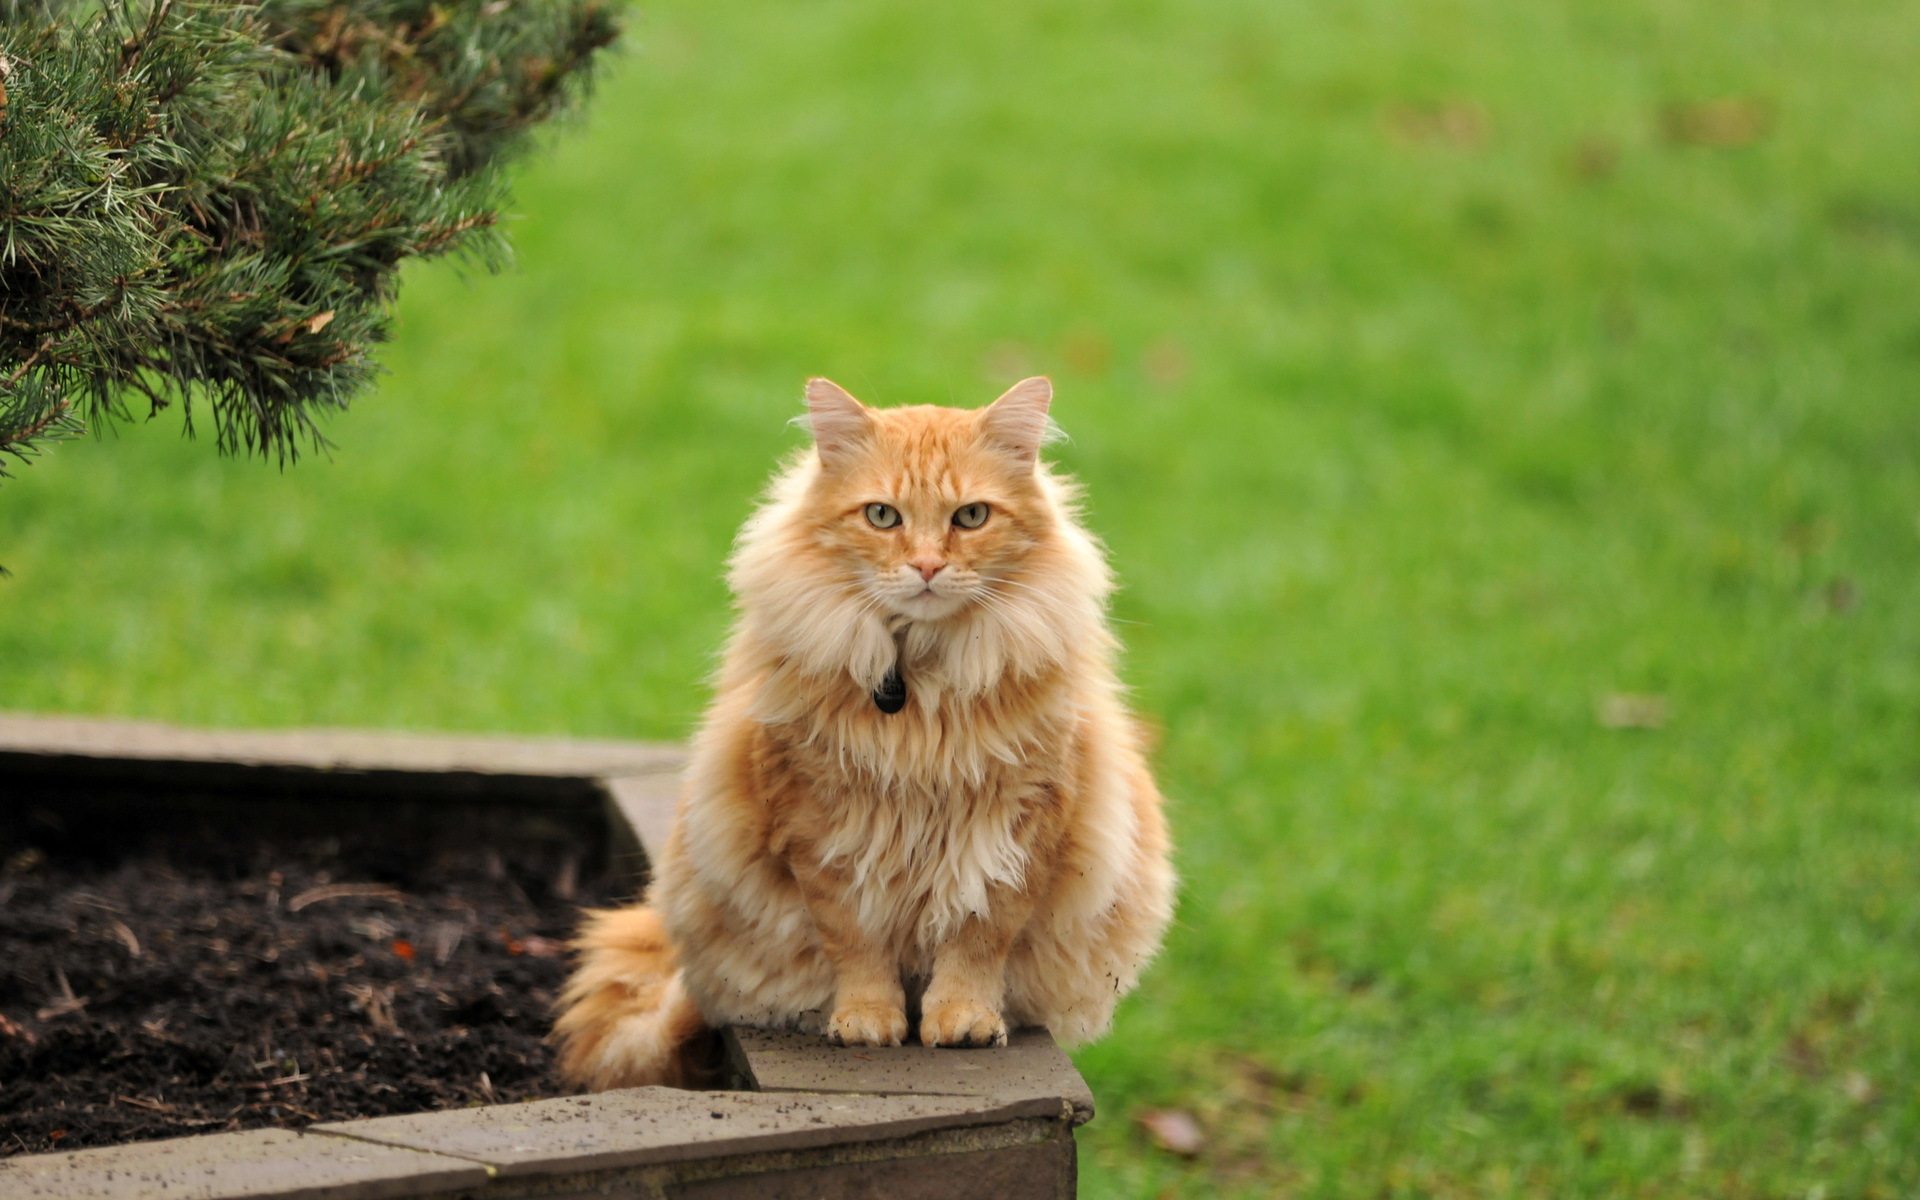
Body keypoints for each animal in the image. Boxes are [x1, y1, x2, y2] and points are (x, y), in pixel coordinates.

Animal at [556, 376, 1175, 1082]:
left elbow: (979, 937)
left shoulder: (1020, 828)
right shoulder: (819, 830)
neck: (921, 688)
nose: (928, 567)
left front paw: (962, 1019)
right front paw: (867, 1020)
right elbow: (853, 941)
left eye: (971, 517)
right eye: (883, 516)